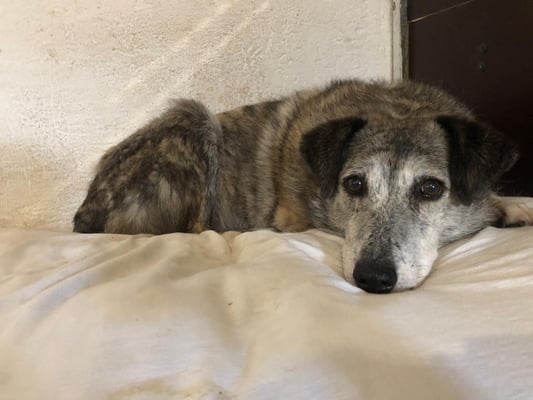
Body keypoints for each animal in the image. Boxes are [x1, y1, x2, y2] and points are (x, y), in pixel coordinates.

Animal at [74, 79, 532, 293]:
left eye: (431, 189)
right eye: (354, 184)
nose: (373, 278)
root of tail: (85, 211)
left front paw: (512, 206)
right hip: (192, 120)